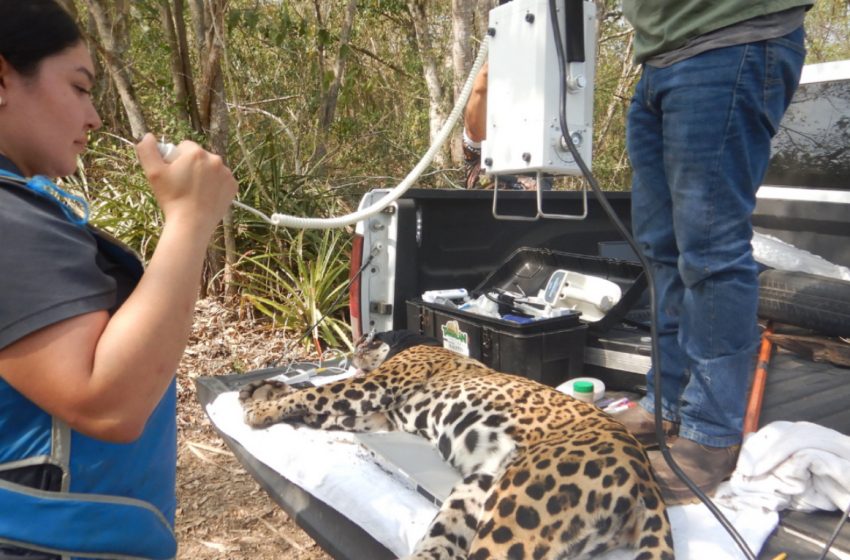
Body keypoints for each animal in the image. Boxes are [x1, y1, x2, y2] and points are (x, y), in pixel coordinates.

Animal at [239, 330, 674, 560]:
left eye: (372, 338)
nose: (353, 348)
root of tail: (647, 479)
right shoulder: (375, 417)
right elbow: (312, 395)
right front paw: (262, 391)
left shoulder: (374, 388)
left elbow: (319, 391)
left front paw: (262, 408)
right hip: (474, 492)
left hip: (514, 520)